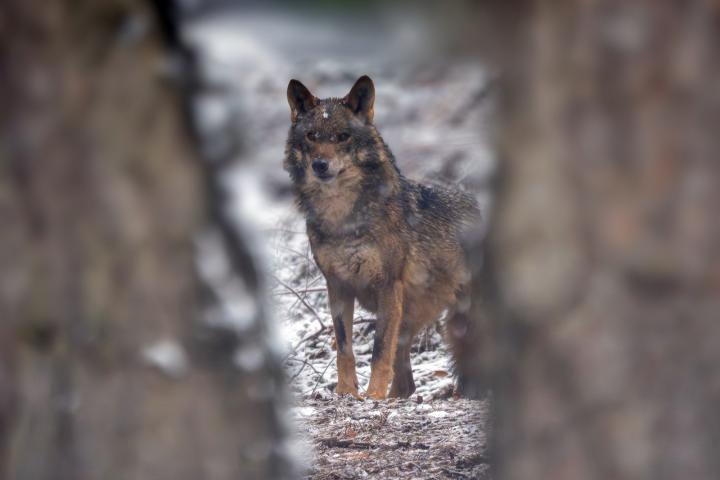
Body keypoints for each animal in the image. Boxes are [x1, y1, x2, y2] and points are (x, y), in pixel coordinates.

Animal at [284, 75, 479, 399]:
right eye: (312, 136)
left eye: (342, 137)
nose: (320, 165)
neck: (343, 220)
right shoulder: (337, 286)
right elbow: (344, 349)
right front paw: (346, 393)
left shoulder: (387, 284)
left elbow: (378, 351)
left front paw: (373, 396)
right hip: (413, 317)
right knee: (407, 381)